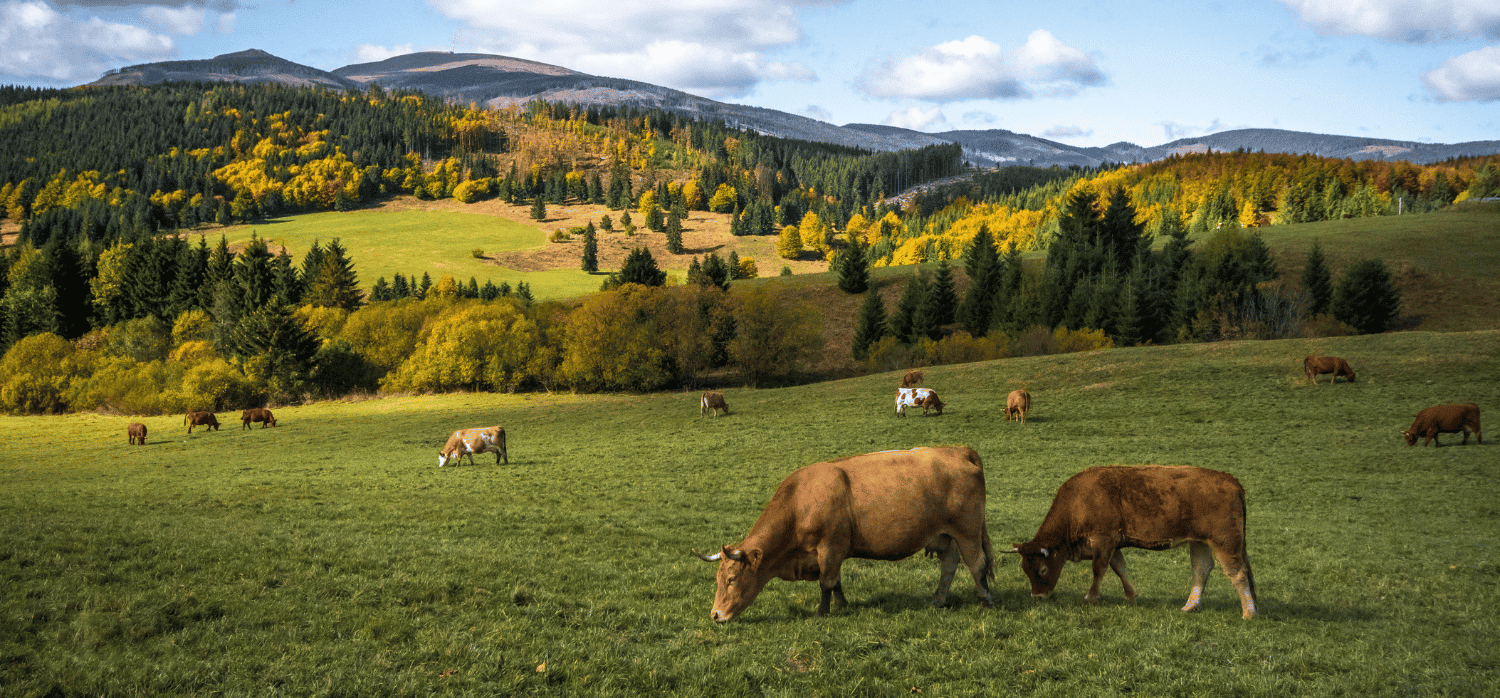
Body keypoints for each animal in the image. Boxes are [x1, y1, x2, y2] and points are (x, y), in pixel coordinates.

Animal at [690, 447, 996, 621]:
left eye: (731, 579)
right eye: (718, 579)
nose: (715, 615)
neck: (800, 500)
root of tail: (958, 450)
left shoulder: (831, 546)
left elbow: (826, 582)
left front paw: (822, 613)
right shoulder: (831, 553)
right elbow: (836, 581)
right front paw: (841, 605)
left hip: (967, 531)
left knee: (977, 565)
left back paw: (985, 601)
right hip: (945, 535)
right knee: (950, 566)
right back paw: (938, 600)